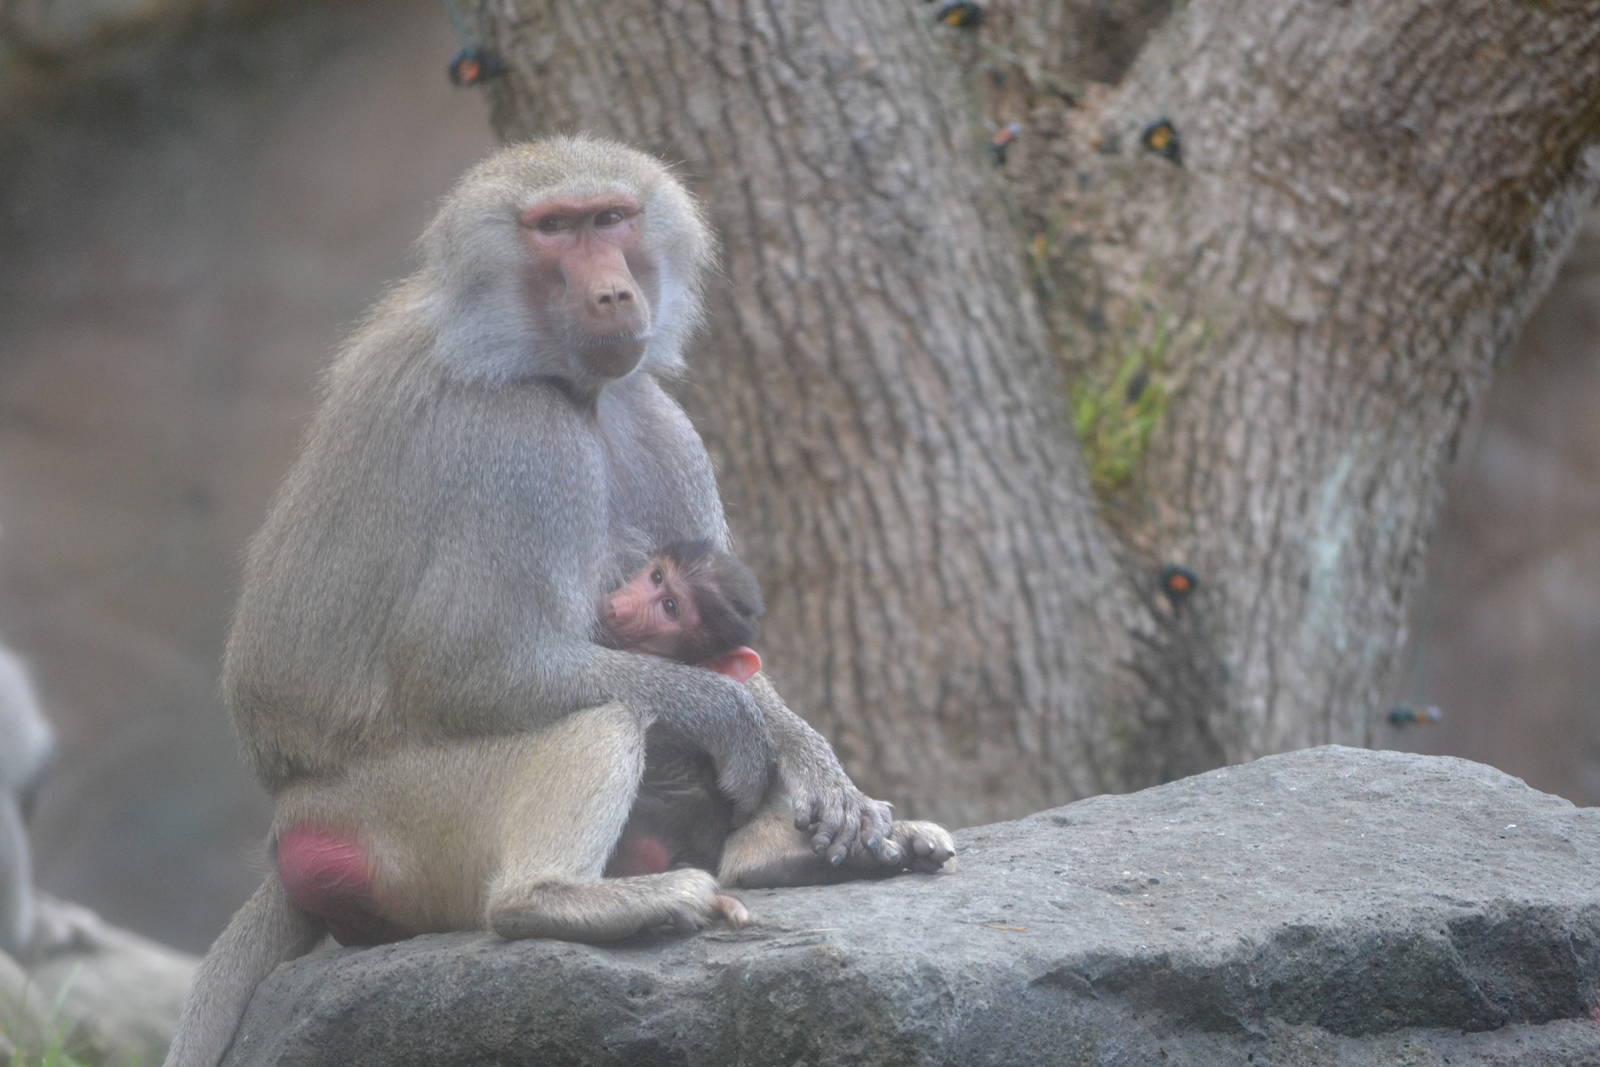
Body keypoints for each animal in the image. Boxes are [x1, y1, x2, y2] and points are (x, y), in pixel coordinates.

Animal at [166, 137, 953, 1067]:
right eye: (554, 228)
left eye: (611, 217)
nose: (613, 292)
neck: (547, 368)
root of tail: (290, 819)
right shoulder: (518, 444)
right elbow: (478, 669)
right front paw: (734, 724)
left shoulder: (658, 417)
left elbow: (737, 652)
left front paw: (827, 780)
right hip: (403, 823)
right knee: (603, 718)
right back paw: (574, 899)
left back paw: (776, 856)